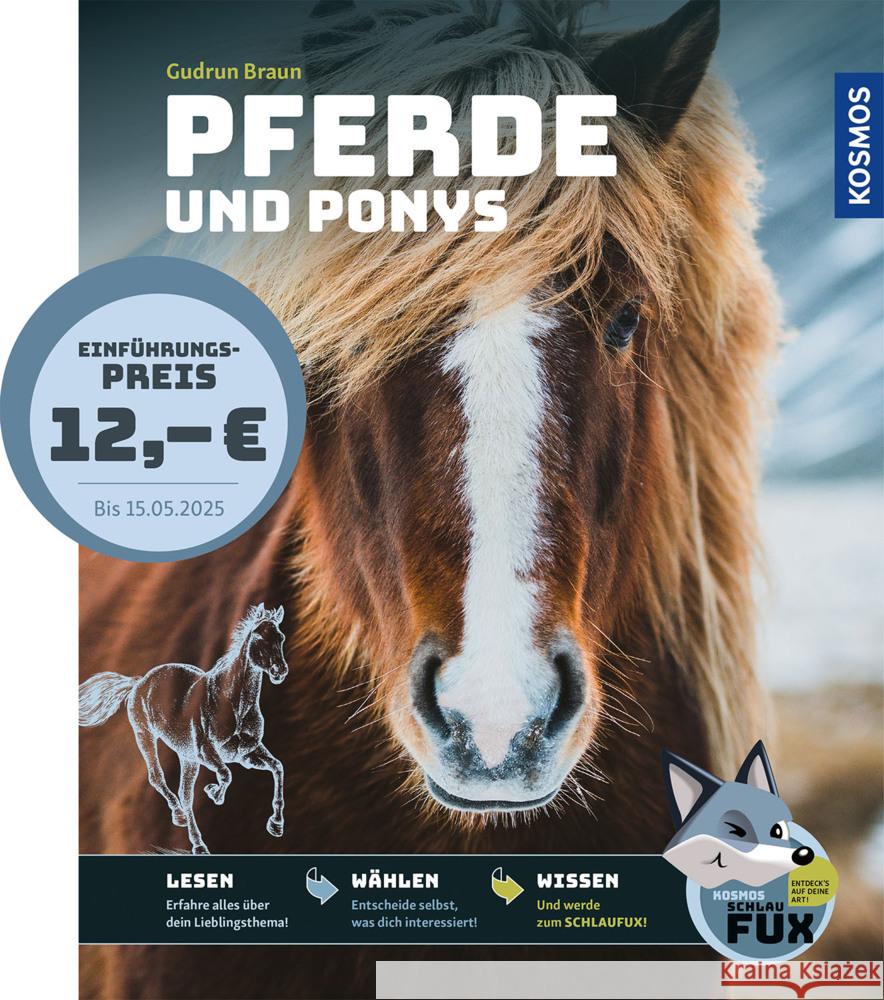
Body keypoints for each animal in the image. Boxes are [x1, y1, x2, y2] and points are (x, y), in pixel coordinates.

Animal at [78, 604, 288, 854]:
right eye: (258, 637)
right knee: (158, 779)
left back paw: (193, 835)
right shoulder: (207, 753)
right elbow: (226, 774)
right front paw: (214, 793)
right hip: (146, 737)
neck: (234, 705)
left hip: (187, 758)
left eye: (281, 637)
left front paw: (276, 825)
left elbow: (277, 767)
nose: (280, 671)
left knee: (185, 795)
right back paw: (187, 826)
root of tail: (139, 682)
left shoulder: (246, 754)